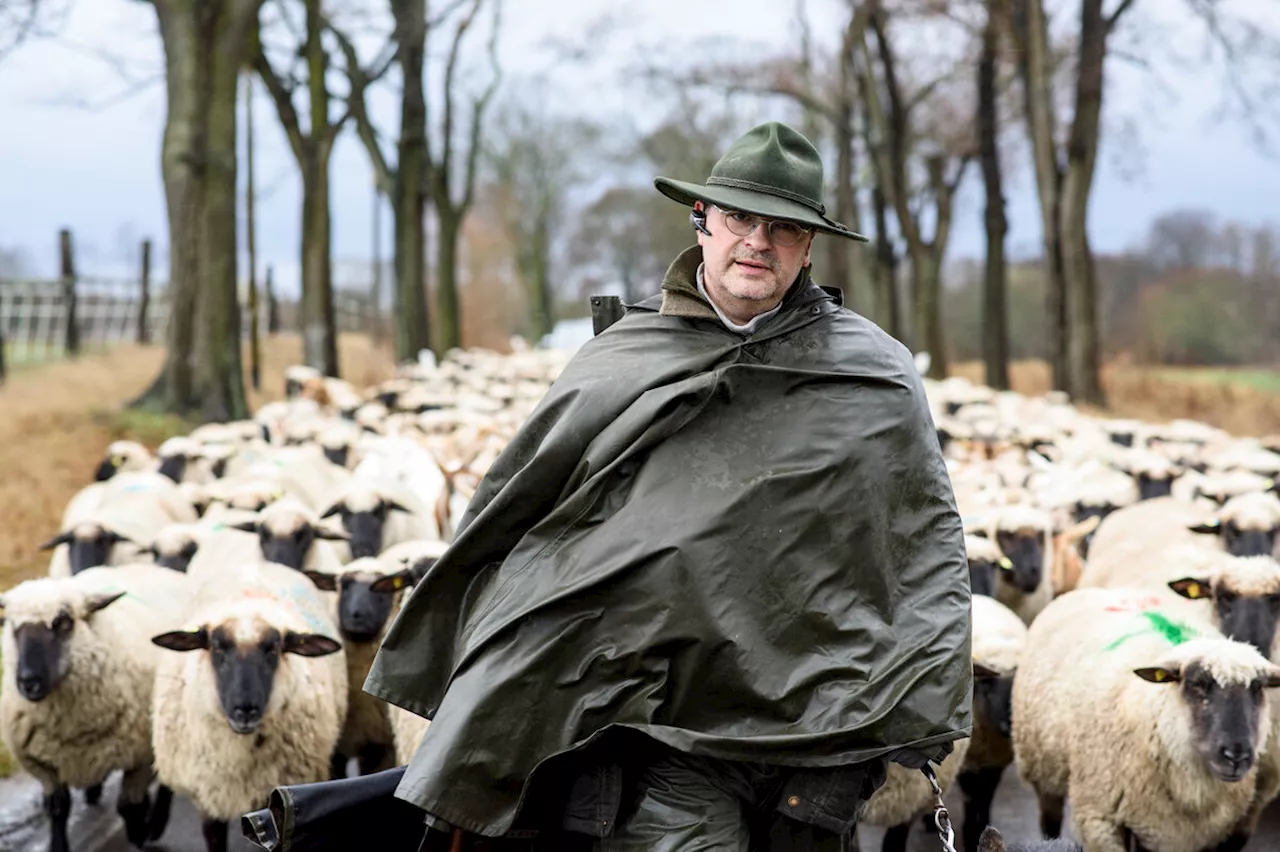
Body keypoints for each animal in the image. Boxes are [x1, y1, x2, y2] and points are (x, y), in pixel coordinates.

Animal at [0, 562, 194, 849]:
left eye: (63, 622)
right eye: (13, 626)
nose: (28, 682)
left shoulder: (142, 757)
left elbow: (128, 806)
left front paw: (139, 835)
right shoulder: (40, 763)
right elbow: (58, 809)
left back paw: (156, 824)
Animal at [957, 591, 1034, 849]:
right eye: (988, 690)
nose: (1008, 726)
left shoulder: (994, 764)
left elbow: (983, 800)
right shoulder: (966, 764)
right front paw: (971, 833)